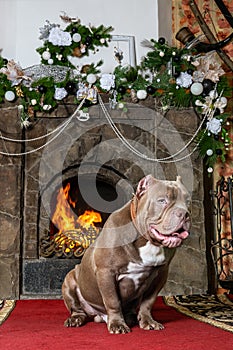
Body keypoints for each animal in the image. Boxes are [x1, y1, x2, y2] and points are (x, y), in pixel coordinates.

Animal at [62, 175, 191, 334]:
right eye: (162, 201)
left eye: (187, 201)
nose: (184, 213)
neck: (147, 241)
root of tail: (98, 315)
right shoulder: (106, 272)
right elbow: (113, 301)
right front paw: (117, 324)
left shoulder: (160, 275)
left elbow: (148, 302)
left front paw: (148, 321)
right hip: (70, 280)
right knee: (77, 308)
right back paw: (75, 319)